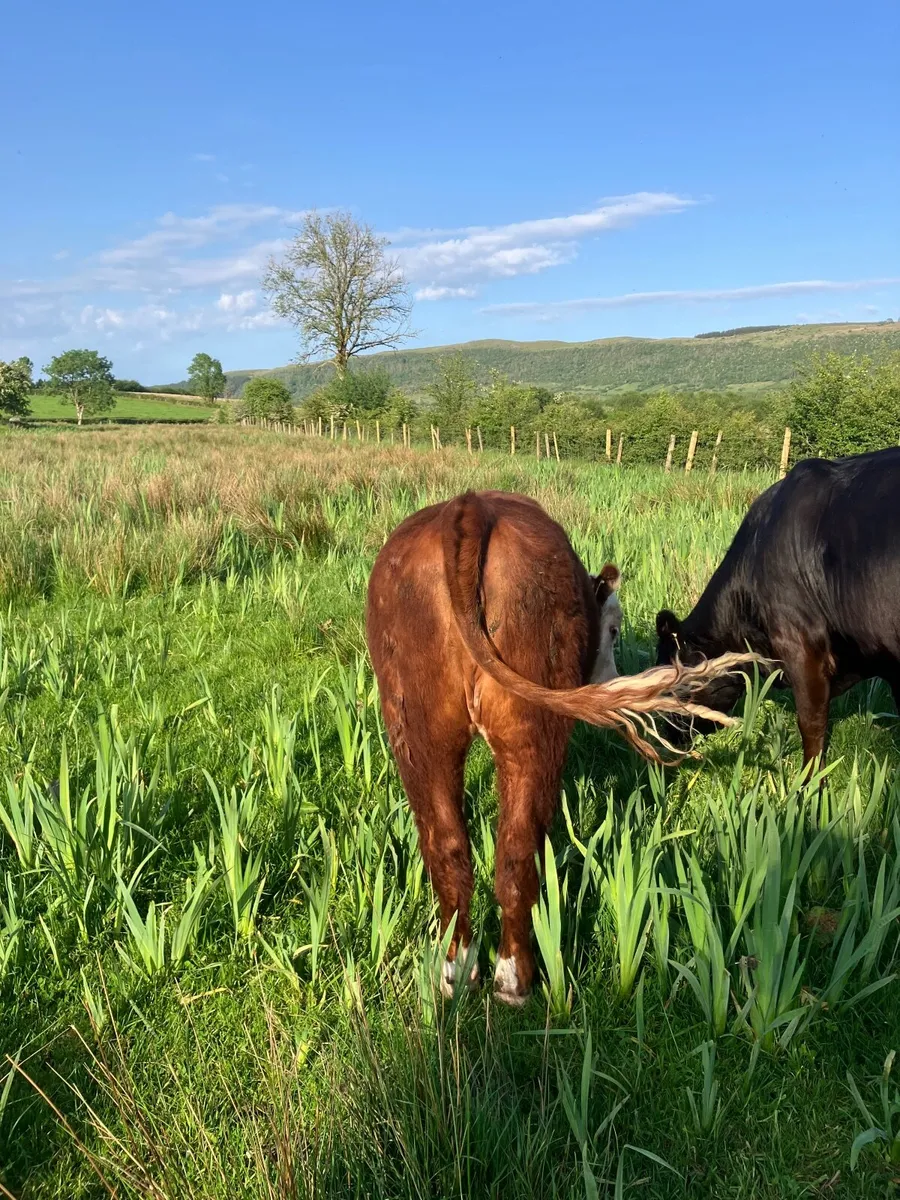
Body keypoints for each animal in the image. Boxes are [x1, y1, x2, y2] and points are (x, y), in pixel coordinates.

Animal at [366, 490, 750, 1005]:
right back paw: (516, 980)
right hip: (534, 733)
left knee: (446, 850)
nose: (608, 675)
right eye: (612, 629)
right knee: (516, 853)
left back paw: (455, 973)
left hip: (419, 733)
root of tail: (468, 508)